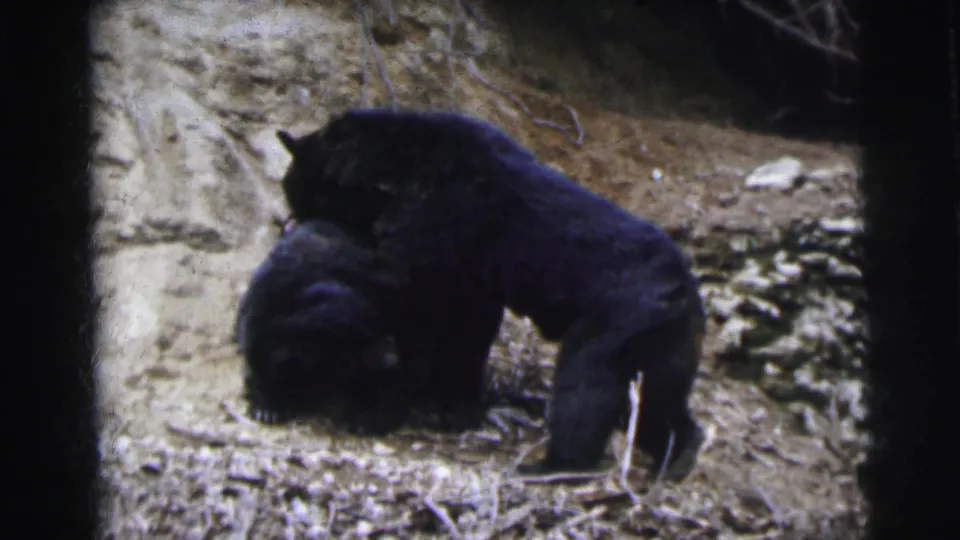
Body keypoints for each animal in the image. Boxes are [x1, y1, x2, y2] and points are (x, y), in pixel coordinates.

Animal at [274, 108, 707, 481]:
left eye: (302, 191)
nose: (293, 218)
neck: (397, 164)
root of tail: (684, 290)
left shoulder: (433, 233)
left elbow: (401, 287)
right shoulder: (471, 286)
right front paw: (453, 408)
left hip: (612, 328)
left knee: (585, 392)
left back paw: (549, 466)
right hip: (660, 351)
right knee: (660, 407)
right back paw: (677, 458)